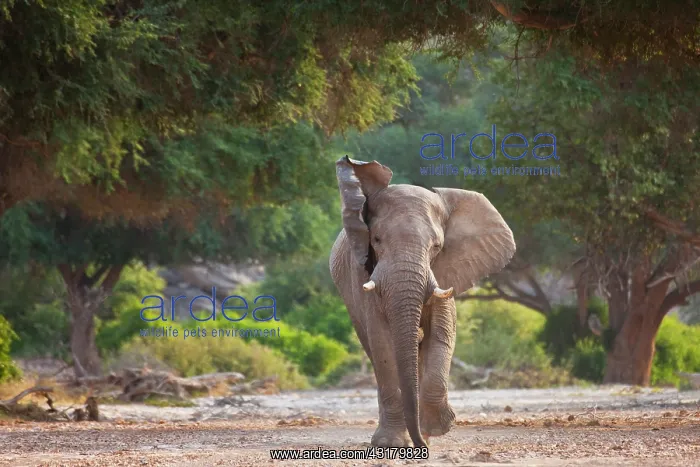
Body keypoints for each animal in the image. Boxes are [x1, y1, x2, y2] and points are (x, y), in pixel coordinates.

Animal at [329, 156, 516, 448]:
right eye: (376, 239)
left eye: (437, 246)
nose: (422, 447)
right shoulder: (365, 273)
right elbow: (382, 344)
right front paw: (392, 443)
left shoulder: (444, 272)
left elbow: (441, 335)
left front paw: (437, 428)